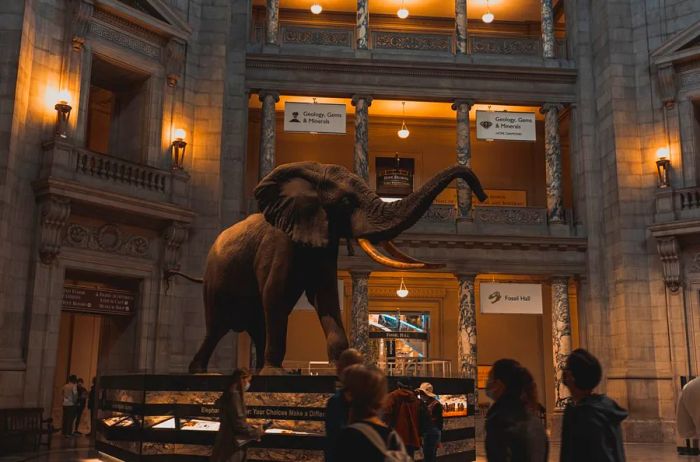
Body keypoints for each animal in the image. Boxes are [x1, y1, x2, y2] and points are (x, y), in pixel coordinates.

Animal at [191, 161, 486, 374]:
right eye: (346, 203)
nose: (481, 195)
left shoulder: (326, 243)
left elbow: (326, 297)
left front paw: (341, 369)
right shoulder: (278, 242)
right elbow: (275, 294)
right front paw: (274, 373)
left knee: (254, 324)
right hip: (214, 279)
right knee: (217, 326)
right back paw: (203, 372)